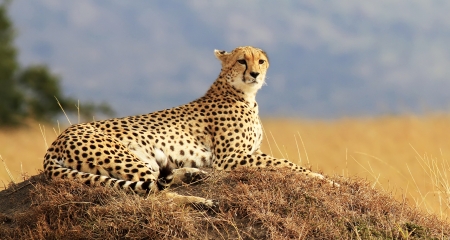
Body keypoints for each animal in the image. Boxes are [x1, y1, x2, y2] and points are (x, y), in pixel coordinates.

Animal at [43, 46, 338, 207]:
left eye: (260, 61)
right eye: (242, 61)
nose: (255, 73)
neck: (242, 94)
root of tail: (56, 141)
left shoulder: (242, 155)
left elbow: (284, 163)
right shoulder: (231, 158)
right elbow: (286, 164)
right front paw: (324, 179)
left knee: (159, 181)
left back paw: (193, 176)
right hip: (124, 156)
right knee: (153, 193)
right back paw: (200, 201)